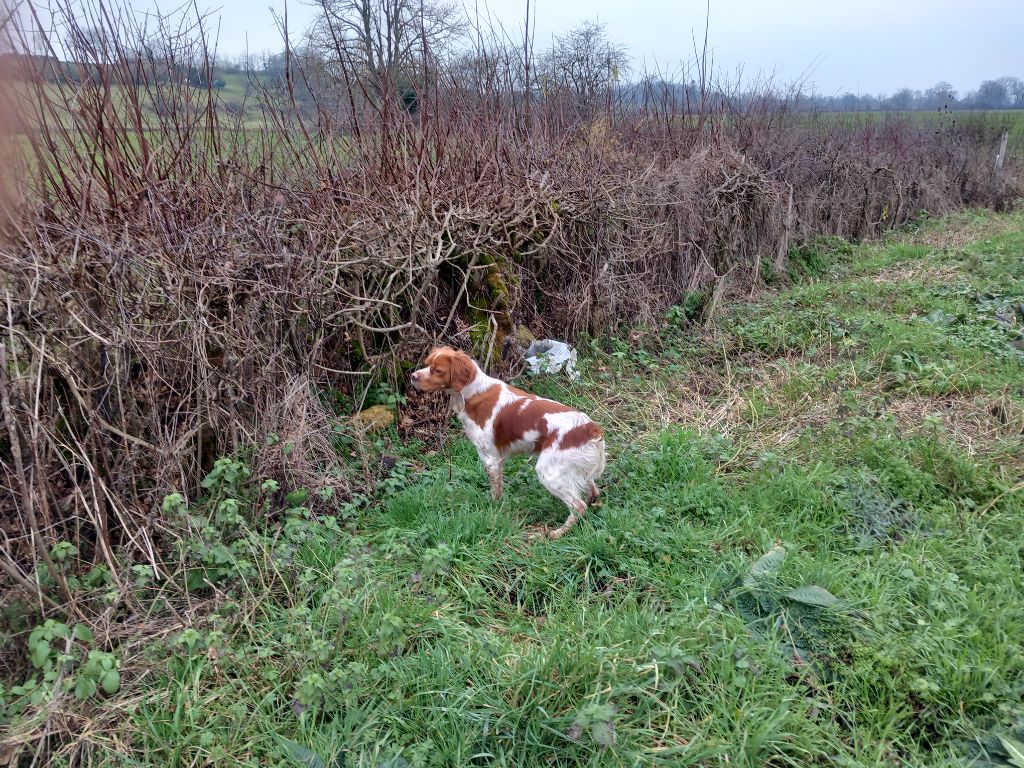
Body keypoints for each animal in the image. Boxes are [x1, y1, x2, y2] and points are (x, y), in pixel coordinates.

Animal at [411, 348, 606, 540]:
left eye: (437, 370)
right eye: (427, 364)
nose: (413, 376)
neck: (473, 394)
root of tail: (591, 427)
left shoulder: (490, 458)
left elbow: (495, 491)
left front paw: (492, 508)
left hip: (548, 472)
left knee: (578, 506)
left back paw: (557, 533)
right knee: (593, 491)